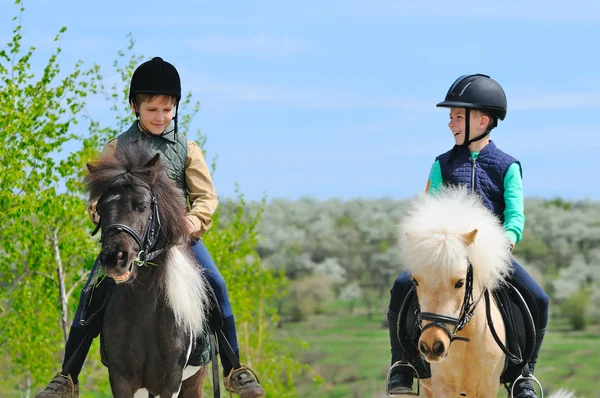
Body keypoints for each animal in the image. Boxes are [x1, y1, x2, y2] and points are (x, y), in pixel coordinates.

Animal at [85, 141, 212, 396]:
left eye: (142, 206)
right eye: (100, 209)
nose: (114, 258)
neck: (144, 311)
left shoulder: (171, 381)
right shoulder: (122, 379)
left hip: (194, 380)